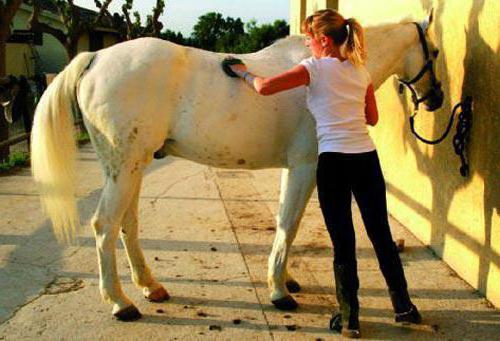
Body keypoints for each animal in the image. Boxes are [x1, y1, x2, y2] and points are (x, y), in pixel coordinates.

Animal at [31, 14, 442, 320]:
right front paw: (279, 292)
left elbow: (284, 221)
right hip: (125, 168)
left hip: (128, 167)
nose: (436, 99)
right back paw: (120, 303)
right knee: (104, 225)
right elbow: (289, 224)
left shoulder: (292, 168)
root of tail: (95, 58)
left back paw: (150, 287)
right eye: (435, 52)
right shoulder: (306, 166)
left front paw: (286, 279)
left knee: (126, 224)